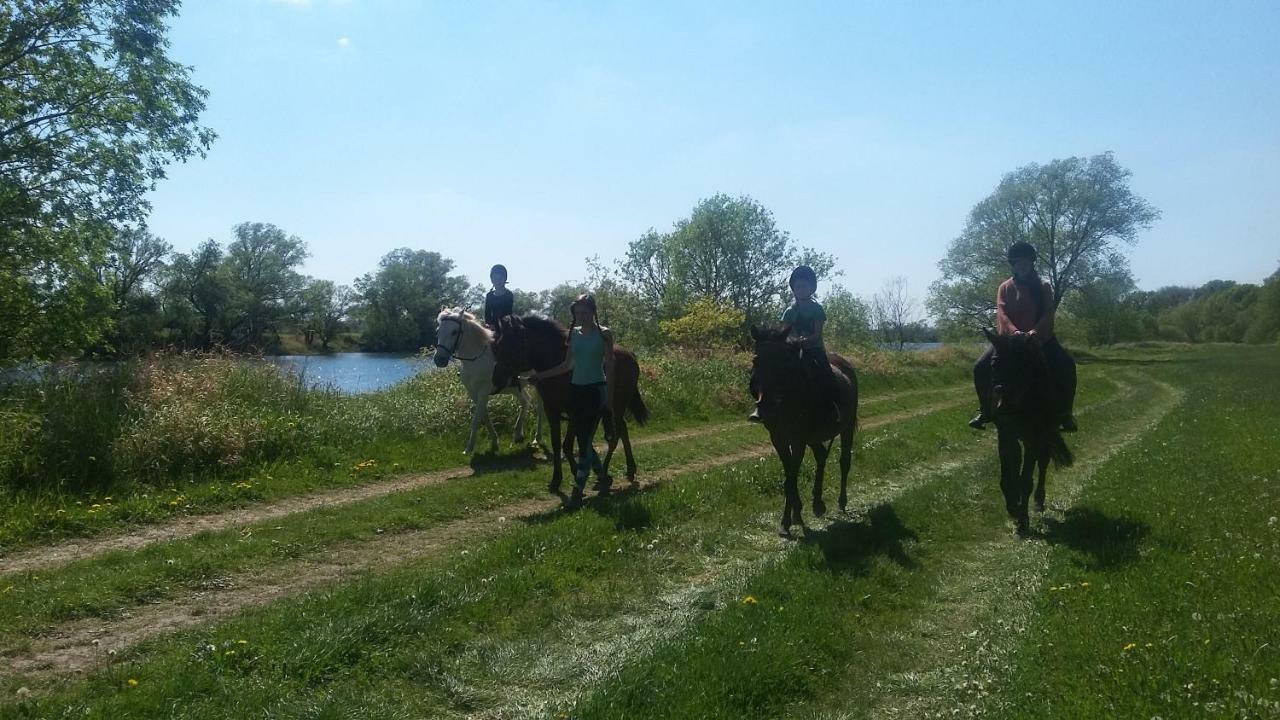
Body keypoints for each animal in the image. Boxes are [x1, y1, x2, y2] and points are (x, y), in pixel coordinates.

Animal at [437, 304, 542, 450]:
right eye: (438, 331)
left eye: (454, 332)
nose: (439, 360)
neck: (476, 359)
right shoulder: (474, 393)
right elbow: (485, 417)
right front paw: (494, 442)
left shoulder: (483, 392)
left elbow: (476, 420)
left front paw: (469, 448)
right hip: (516, 388)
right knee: (525, 401)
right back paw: (518, 434)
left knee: (540, 406)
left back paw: (537, 437)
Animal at [488, 313, 650, 491]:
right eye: (498, 345)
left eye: (512, 344)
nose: (495, 379)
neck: (558, 366)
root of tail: (630, 354)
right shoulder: (552, 411)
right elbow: (557, 444)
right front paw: (557, 479)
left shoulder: (575, 412)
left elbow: (567, 445)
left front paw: (577, 472)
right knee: (622, 431)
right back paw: (628, 469)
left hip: (617, 405)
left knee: (615, 436)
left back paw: (607, 473)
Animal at [747, 324, 860, 532]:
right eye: (756, 360)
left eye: (781, 361)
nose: (765, 406)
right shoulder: (779, 440)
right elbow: (789, 477)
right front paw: (795, 515)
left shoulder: (798, 440)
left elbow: (791, 478)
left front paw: (788, 520)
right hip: (814, 438)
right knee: (821, 456)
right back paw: (818, 503)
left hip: (846, 429)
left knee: (844, 462)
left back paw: (841, 502)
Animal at [983, 327, 1075, 530]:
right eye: (993, 364)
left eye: (1023, 366)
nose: (1005, 405)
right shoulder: (1005, 433)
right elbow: (1008, 473)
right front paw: (1012, 505)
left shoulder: (1035, 436)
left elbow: (1026, 479)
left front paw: (1023, 518)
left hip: (1045, 434)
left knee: (1043, 462)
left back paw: (1039, 500)